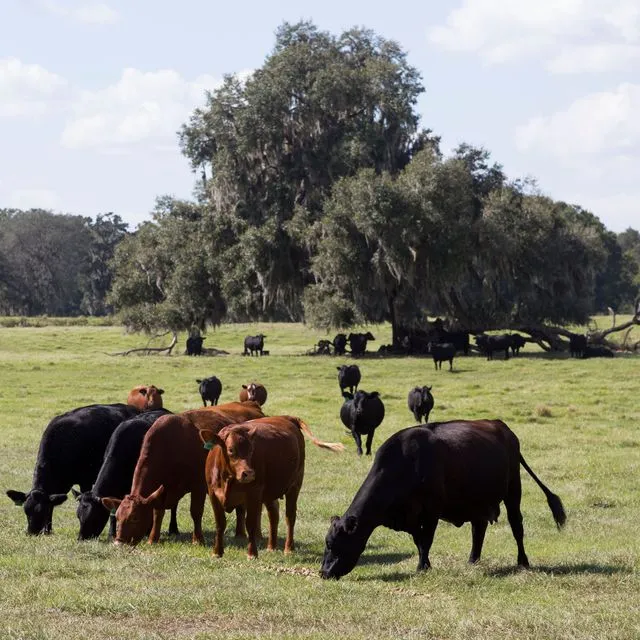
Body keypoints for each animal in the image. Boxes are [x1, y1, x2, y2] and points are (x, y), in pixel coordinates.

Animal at [100, 416, 208, 544]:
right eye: (117, 517)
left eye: (135, 518)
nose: (118, 543)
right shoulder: (161, 490)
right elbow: (157, 513)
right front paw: (153, 539)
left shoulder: (199, 486)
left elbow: (196, 512)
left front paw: (198, 540)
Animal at [200, 416, 342, 560]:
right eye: (231, 450)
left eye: (251, 450)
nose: (249, 473)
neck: (228, 479)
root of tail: (286, 417)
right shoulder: (213, 494)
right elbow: (220, 523)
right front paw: (217, 552)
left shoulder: (254, 493)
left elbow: (251, 524)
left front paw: (252, 554)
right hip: (270, 492)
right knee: (273, 514)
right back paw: (271, 547)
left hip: (295, 485)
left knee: (290, 516)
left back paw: (289, 548)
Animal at [320, 420, 564, 580]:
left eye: (333, 544)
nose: (323, 572)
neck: (405, 463)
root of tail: (502, 427)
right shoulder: (410, 518)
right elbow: (419, 541)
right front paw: (424, 564)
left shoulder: (431, 511)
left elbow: (426, 539)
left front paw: (422, 567)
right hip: (477, 503)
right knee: (478, 530)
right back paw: (473, 560)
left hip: (513, 490)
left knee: (516, 526)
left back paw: (523, 561)